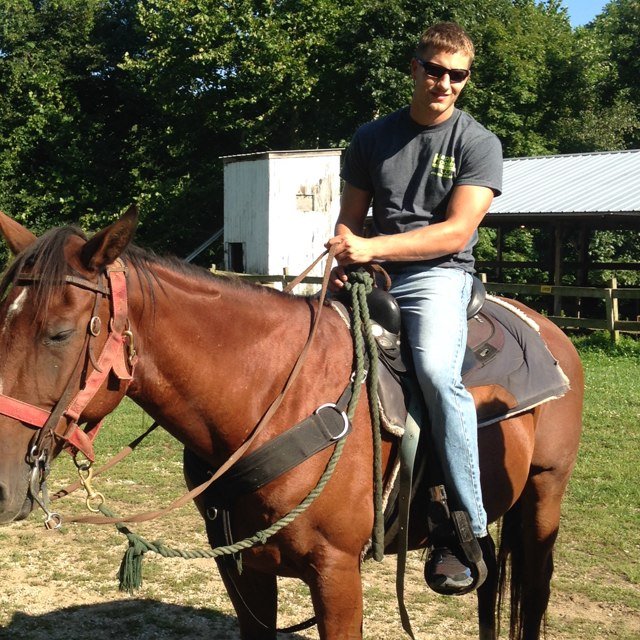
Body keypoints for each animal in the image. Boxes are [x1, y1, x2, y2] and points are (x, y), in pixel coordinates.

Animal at [0, 207, 582, 640]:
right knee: (489, 577)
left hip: (544, 496)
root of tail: (548, 328)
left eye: (59, 333)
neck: (274, 400)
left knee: (532, 593)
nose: (3, 488)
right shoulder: (243, 571)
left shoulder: (337, 575)